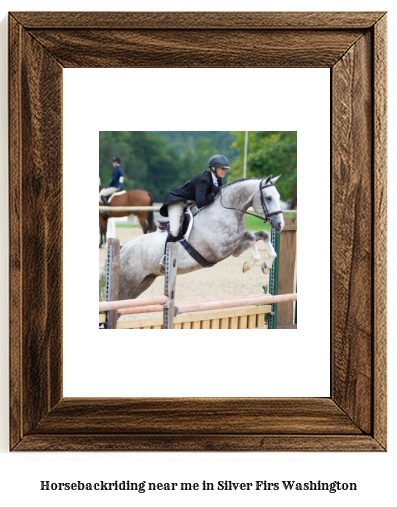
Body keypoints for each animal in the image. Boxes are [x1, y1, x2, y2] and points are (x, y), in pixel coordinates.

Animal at [116, 176, 284, 302]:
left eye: (279, 197)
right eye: (268, 197)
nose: (280, 224)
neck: (226, 210)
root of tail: (123, 249)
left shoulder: (234, 249)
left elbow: (261, 235)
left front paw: (266, 265)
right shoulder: (220, 247)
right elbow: (250, 235)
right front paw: (249, 265)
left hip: (143, 281)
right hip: (127, 283)